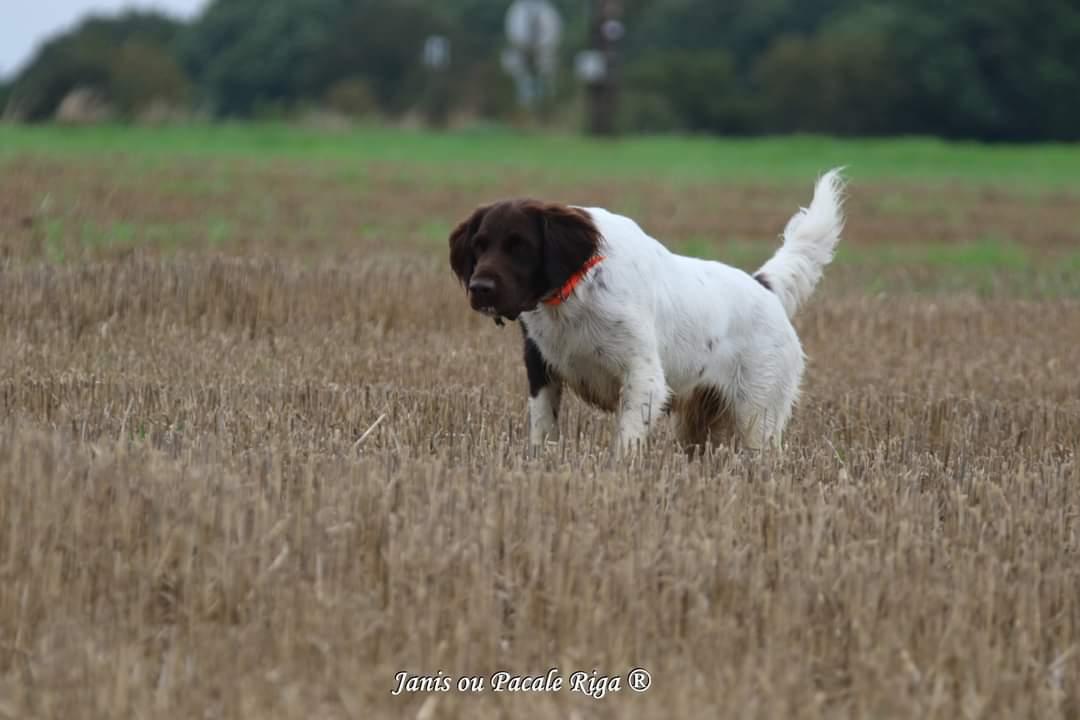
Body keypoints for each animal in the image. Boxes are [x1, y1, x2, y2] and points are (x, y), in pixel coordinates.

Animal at [444, 169, 842, 453]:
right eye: (479, 245)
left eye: (520, 247)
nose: (480, 288)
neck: (574, 294)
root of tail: (764, 287)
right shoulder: (541, 368)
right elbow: (543, 431)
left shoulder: (644, 377)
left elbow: (626, 443)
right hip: (701, 424)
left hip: (757, 415)